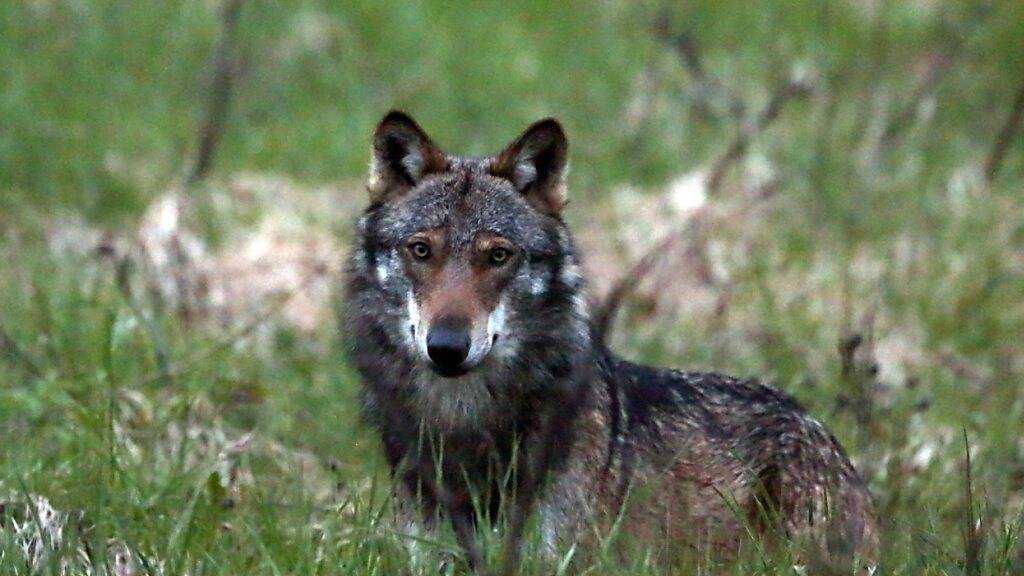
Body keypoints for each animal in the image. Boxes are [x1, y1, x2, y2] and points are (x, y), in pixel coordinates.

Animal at [343, 111, 878, 575]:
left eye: (498, 256)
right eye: (420, 250)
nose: (448, 346)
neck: (464, 423)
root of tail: (821, 430)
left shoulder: (556, 559)